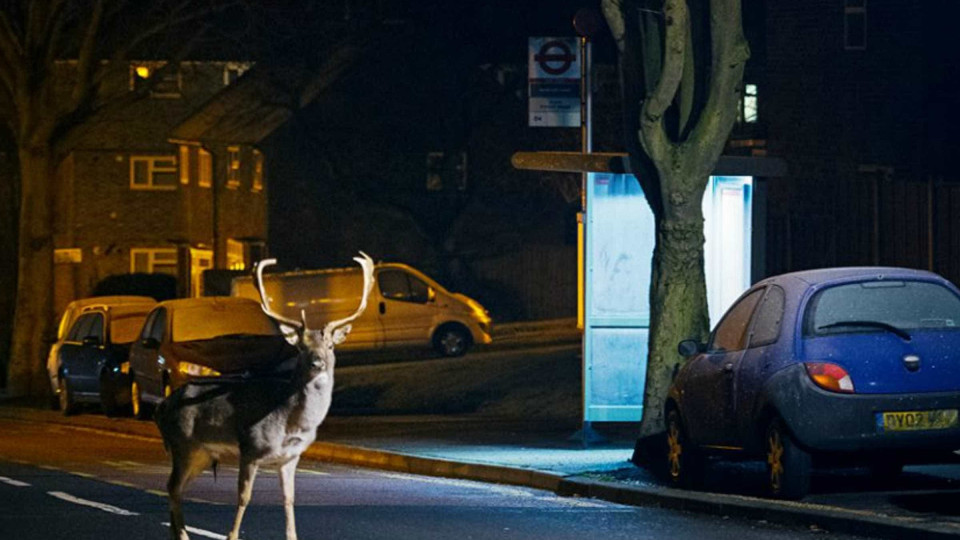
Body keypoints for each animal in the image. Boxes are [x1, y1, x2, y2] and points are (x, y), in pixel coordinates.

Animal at [155, 251, 376, 536]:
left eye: (329, 345)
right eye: (301, 347)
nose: (317, 363)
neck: (291, 421)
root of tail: (160, 407)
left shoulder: (290, 457)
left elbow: (289, 498)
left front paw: (292, 535)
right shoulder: (250, 447)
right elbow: (244, 497)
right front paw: (231, 536)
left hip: (202, 453)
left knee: (176, 489)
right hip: (183, 443)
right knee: (172, 487)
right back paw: (183, 535)